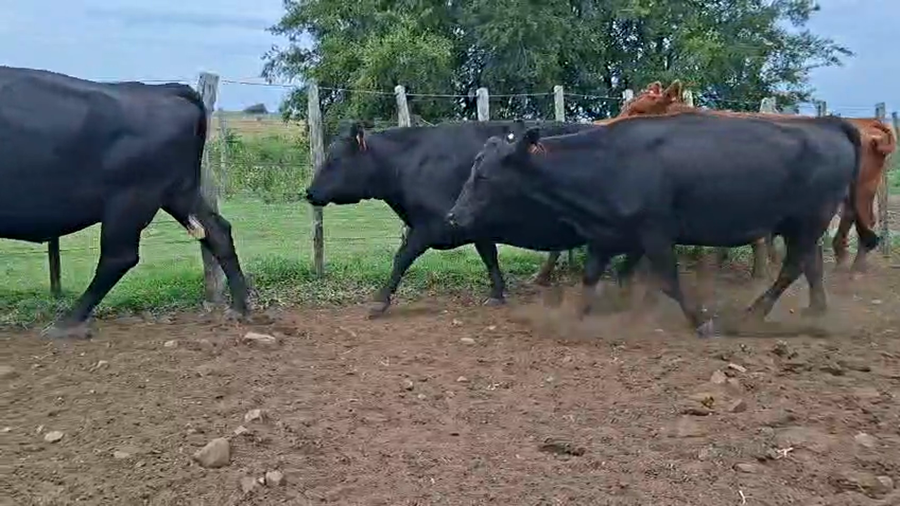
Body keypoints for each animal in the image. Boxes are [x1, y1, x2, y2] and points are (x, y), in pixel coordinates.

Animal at [0, 66, 251, 338]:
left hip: (131, 202)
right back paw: (240, 308)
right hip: (179, 194)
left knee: (119, 256)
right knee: (217, 232)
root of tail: (164, 90)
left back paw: (67, 322)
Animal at [303, 119, 645, 317]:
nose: (309, 191)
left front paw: (380, 301)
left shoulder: (430, 227)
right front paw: (497, 293)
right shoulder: (475, 227)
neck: (411, 163)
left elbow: (401, 258)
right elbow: (490, 258)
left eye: (335, 158)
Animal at [446, 112, 871, 337]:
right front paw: (577, 316)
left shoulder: (654, 234)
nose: (454, 215)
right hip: (801, 225)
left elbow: (667, 280)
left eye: (483, 175)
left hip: (808, 219)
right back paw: (816, 311)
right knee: (811, 265)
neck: (608, 163)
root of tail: (829, 123)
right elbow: (590, 277)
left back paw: (754, 313)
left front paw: (700, 322)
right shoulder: (606, 236)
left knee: (793, 266)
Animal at [623, 80, 894, 273]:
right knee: (853, 220)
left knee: (864, 221)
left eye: (639, 109)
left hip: (862, 188)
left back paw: (854, 268)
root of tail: (868, 122)